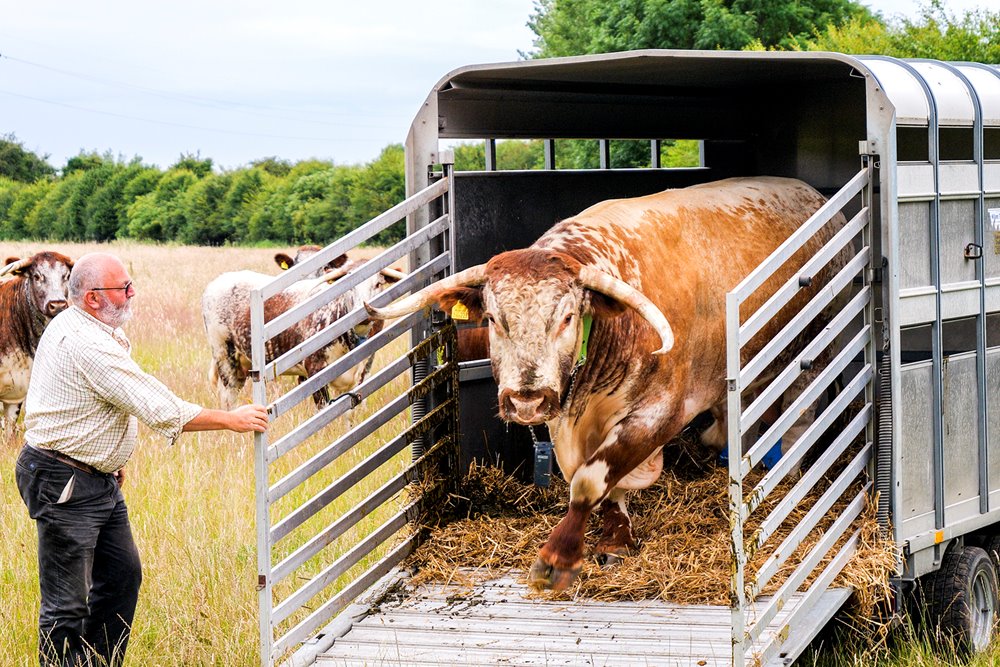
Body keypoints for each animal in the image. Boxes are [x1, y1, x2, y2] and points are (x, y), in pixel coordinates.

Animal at [201, 266, 392, 412]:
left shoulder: (363, 373)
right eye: (349, 286)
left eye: (378, 284)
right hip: (225, 357)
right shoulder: (315, 371)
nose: (364, 314)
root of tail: (218, 281)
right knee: (228, 397)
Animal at [368, 176, 852, 588]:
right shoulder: (567, 420)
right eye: (491, 319)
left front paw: (558, 558)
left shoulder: (659, 414)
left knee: (810, 415)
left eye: (567, 317)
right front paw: (615, 538)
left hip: (821, 344)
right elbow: (599, 482)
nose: (526, 400)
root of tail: (810, 194)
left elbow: (589, 481)